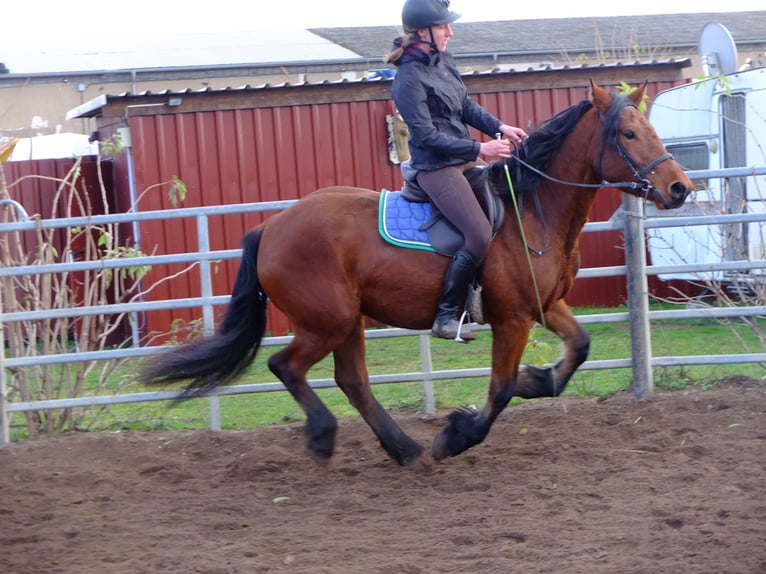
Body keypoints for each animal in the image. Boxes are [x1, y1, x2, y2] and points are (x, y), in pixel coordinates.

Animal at [140, 81, 696, 468]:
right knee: (287, 366)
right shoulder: (513, 318)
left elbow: (577, 349)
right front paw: (456, 436)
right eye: (628, 134)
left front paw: (536, 379)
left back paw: (402, 448)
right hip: (328, 321)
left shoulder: (546, 305)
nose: (679, 188)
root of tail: (270, 226)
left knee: (351, 380)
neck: (532, 209)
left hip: (349, 321)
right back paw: (326, 436)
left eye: (651, 131)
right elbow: (499, 390)